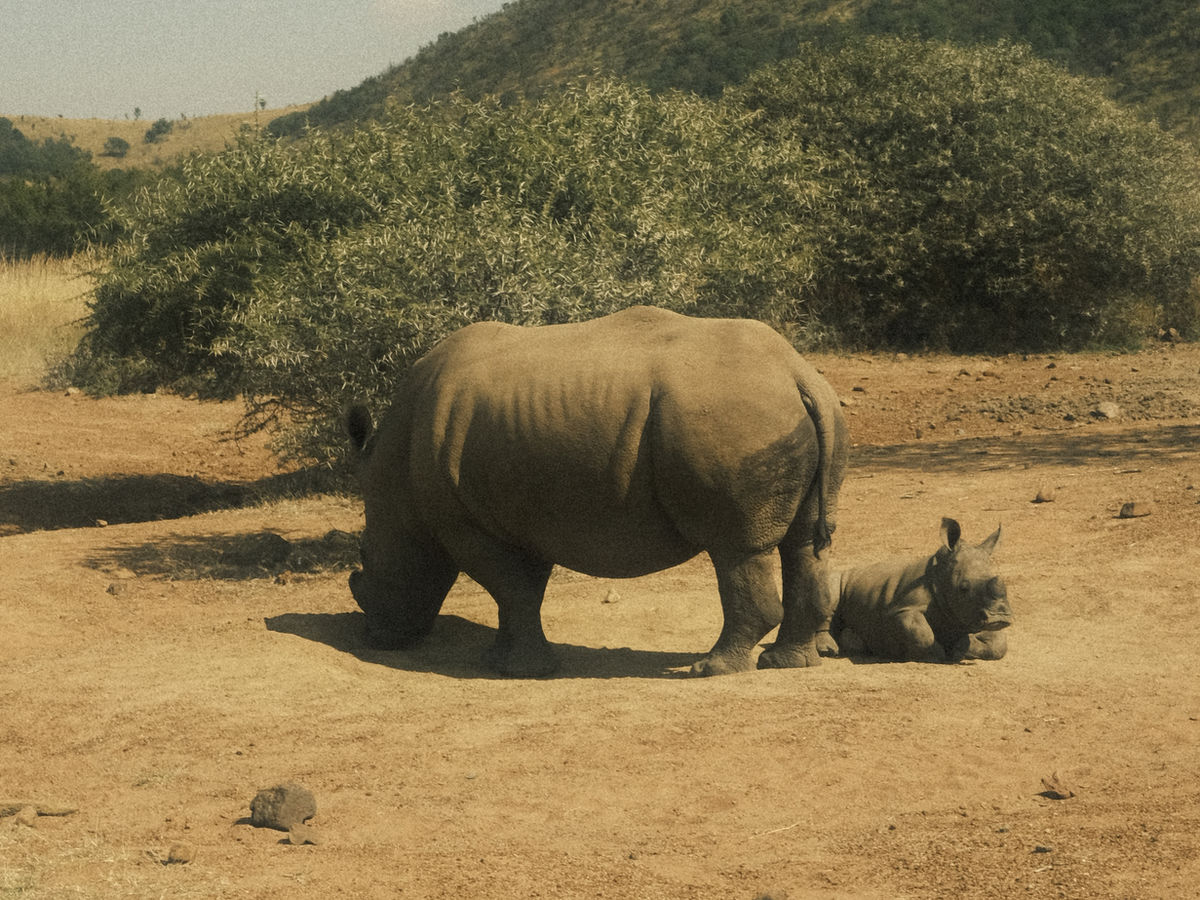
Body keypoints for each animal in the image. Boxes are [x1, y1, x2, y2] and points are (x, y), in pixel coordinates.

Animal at [346, 305, 849, 677]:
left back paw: (713, 669)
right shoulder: (524, 515)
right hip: (803, 414)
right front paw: (502, 661)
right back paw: (788, 663)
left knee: (735, 549)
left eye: (366, 556)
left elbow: (511, 589)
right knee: (804, 543)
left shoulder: (463, 523)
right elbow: (522, 591)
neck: (393, 473)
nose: (378, 638)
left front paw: (520, 672)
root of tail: (796, 372)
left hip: (733, 417)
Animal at [821, 518, 1011, 663]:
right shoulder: (900, 610)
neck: (941, 575)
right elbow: (923, 634)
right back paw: (830, 650)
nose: (1000, 617)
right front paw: (934, 653)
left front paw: (962, 646)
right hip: (839, 579)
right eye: (963, 587)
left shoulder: (973, 614)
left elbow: (1000, 643)